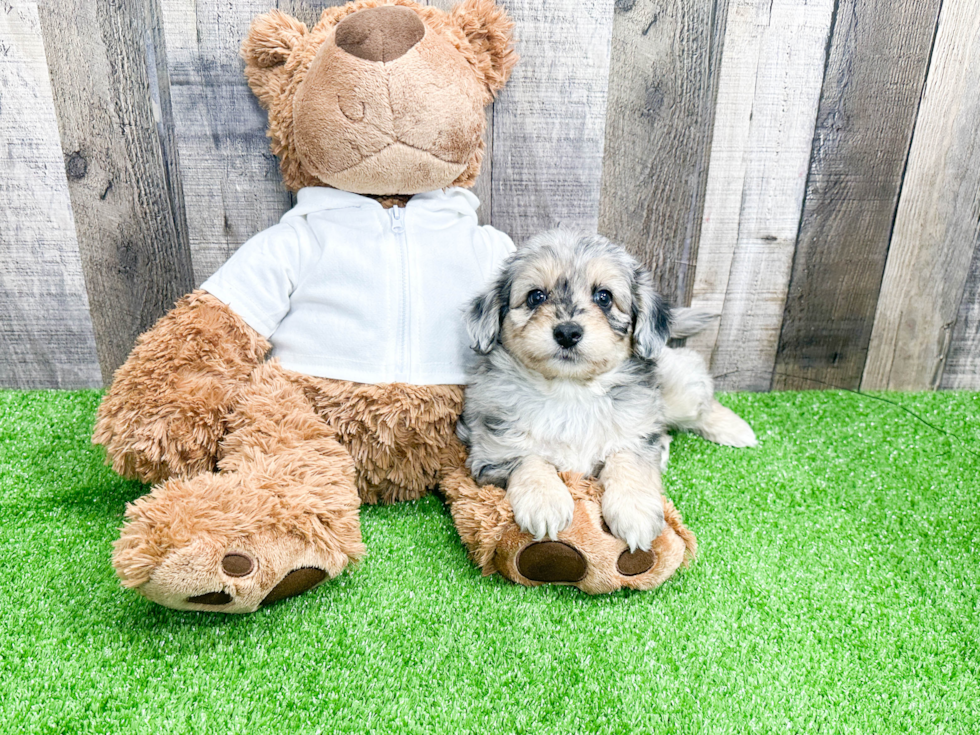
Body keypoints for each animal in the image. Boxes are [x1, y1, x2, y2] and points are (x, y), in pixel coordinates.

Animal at [456, 230, 756, 552]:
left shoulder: (633, 433)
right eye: (536, 296)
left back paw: (736, 429)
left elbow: (627, 461)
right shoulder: (493, 451)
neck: (570, 392)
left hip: (679, 393)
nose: (567, 332)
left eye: (604, 297)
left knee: (698, 394)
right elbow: (530, 460)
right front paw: (545, 501)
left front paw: (634, 511)